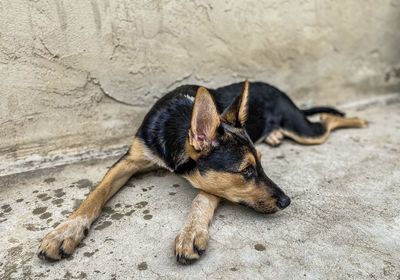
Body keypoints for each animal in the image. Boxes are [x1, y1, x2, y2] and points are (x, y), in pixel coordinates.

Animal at [37, 80, 366, 264]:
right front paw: (65, 231)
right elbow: (96, 194)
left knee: (328, 121)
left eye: (259, 165)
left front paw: (191, 232)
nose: (287, 202)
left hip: (303, 131)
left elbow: (202, 197)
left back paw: (360, 120)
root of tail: (281, 91)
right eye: (247, 170)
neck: (178, 122)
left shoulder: (215, 183)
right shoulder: (129, 159)